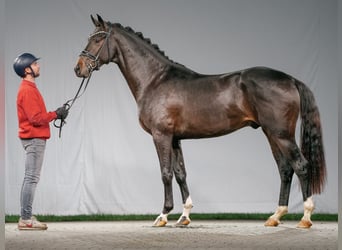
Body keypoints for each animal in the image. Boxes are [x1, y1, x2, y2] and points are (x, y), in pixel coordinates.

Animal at [74, 14, 326, 229]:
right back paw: (275, 216)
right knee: (285, 169)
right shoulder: (175, 139)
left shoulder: (161, 136)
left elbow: (165, 173)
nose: (78, 68)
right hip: (271, 133)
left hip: (281, 134)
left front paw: (163, 215)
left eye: (97, 39)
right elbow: (180, 173)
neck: (155, 80)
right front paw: (184, 216)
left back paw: (305, 218)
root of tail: (291, 79)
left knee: (301, 166)